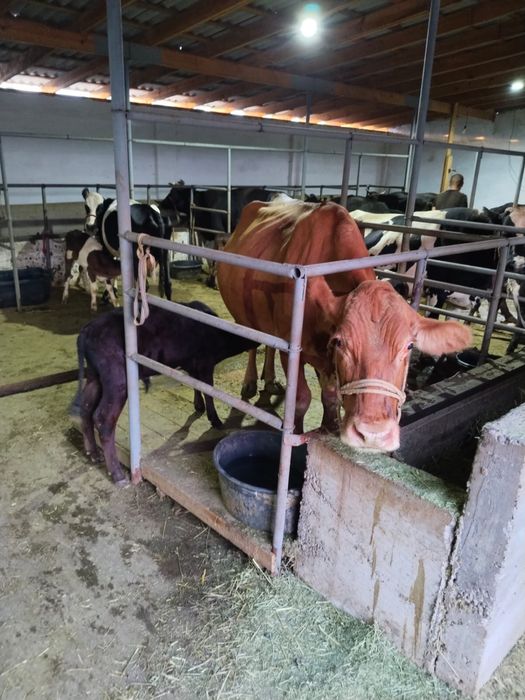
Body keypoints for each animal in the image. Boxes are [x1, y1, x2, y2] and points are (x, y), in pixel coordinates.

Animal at [71, 302, 258, 485]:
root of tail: (86, 331)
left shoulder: (192, 364)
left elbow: (196, 385)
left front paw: (199, 406)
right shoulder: (205, 363)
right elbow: (208, 391)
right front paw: (215, 419)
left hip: (94, 376)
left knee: (86, 408)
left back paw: (93, 454)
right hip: (117, 380)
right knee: (103, 419)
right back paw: (117, 474)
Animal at [217, 198, 471, 452]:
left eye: (408, 346)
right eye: (341, 342)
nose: (373, 434)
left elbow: (330, 396)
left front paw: (329, 428)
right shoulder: (292, 350)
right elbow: (301, 399)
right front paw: (297, 436)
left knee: (268, 344)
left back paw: (270, 380)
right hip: (242, 315)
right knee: (252, 344)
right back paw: (250, 383)